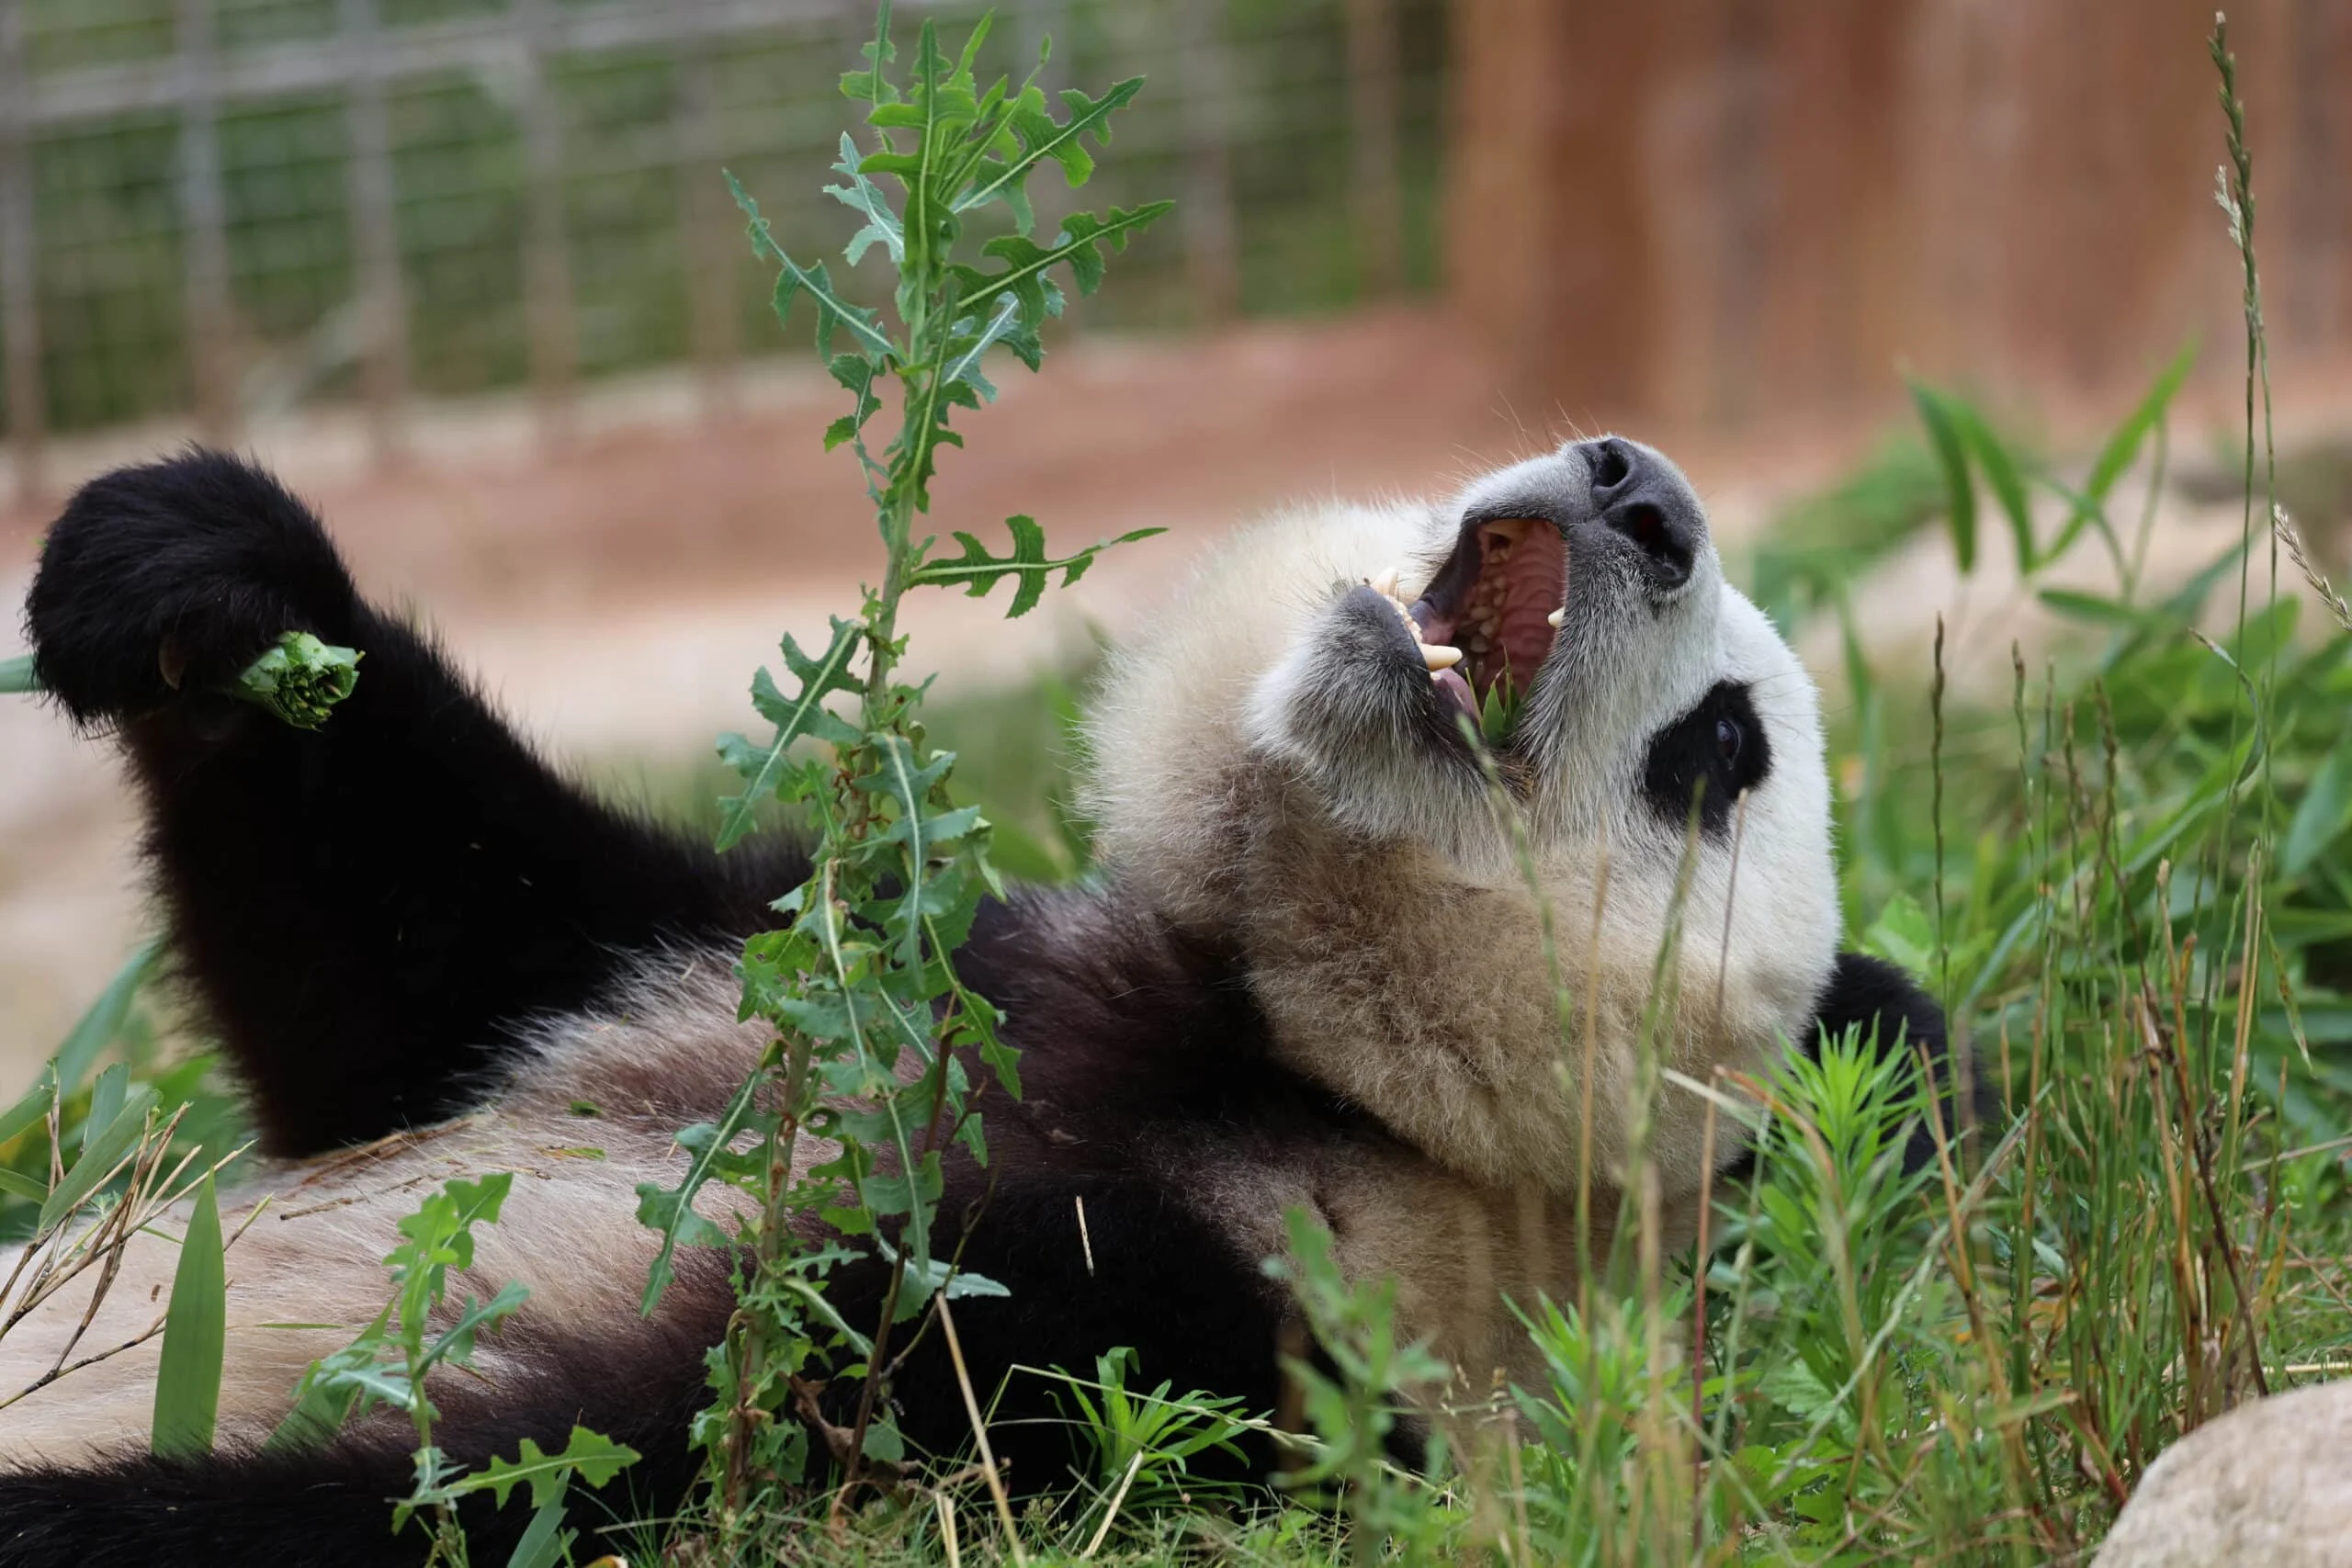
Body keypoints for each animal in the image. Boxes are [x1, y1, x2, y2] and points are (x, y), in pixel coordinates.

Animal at [0, 439, 1968, 1566]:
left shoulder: (1223, 1330)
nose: (1643, 487)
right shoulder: (845, 965)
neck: (1285, 1061)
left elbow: (613, 1457)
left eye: (1724, 750)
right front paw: (194, 574)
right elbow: (410, 970)